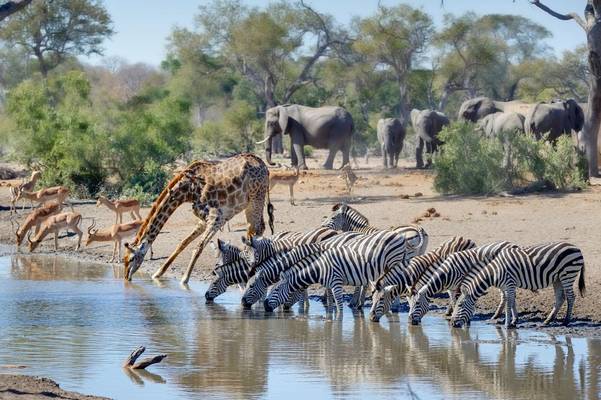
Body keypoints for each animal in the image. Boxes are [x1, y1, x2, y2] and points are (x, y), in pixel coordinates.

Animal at [124, 153, 274, 284]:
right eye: (123, 259)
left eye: (131, 259)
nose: (126, 277)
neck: (186, 191)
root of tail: (264, 166)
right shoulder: (203, 220)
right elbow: (182, 243)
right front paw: (158, 273)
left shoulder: (216, 217)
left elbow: (198, 247)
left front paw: (184, 280)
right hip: (251, 202)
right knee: (257, 229)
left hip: (256, 196)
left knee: (255, 229)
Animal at [262, 223, 426, 314]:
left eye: (276, 290)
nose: (264, 306)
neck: (319, 268)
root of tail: (400, 236)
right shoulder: (329, 284)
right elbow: (330, 303)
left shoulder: (336, 283)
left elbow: (339, 307)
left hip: (393, 262)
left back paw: (394, 306)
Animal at [450, 241, 584, 328]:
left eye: (460, 305)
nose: (451, 323)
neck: (495, 272)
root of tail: (577, 248)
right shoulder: (508, 286)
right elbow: (512, 301)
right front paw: (514, 321)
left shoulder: (509, 283)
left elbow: (509, 303)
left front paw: (507, 324)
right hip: (558, 278)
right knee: (560, 298)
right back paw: (547, 321)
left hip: (568, 274)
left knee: (571, 297)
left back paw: (566, 321)